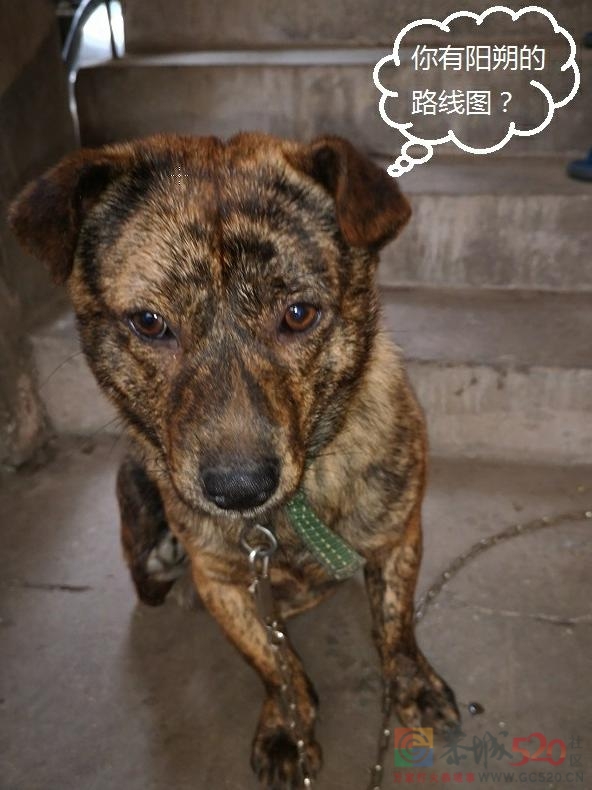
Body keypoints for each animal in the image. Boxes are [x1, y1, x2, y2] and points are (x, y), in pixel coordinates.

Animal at [10, 132, 460, 787]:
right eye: (149, 323)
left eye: (298, 314)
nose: (239, 488)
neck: (282, 517)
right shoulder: (223, 582)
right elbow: (272, 662)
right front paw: (287, 724)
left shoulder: (398, 536)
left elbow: (396, 624)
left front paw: (412, 684)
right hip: (142, 524)